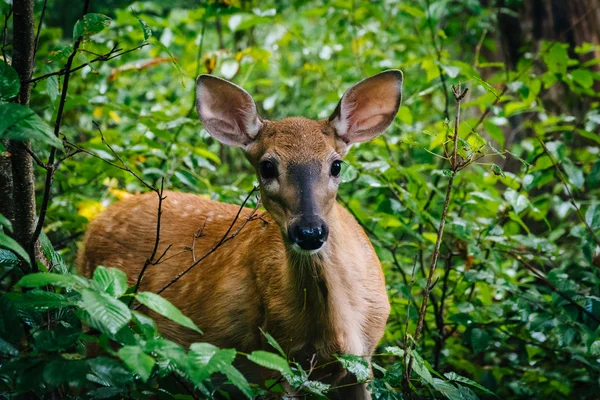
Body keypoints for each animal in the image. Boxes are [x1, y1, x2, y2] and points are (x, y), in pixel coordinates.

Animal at [76, 69, 404, 396]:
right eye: (267, 167)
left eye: (336, 165)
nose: (309, 232)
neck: (336, 328)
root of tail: (94, 223)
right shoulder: (273, 360)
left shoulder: (363, 363)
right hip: (95, 325)